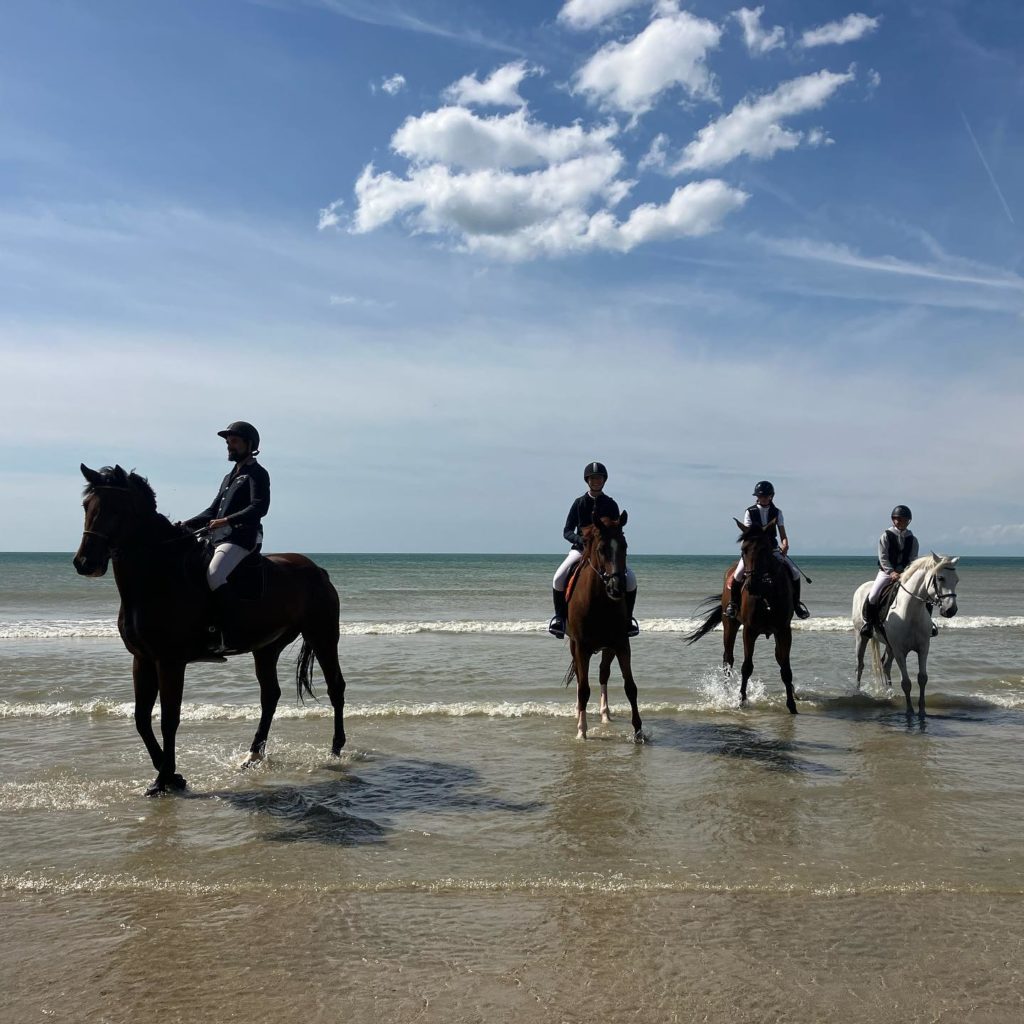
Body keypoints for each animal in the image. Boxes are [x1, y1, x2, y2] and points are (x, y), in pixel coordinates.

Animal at [74, 466, 348, 798]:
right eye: (86, 506)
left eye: (117, 509)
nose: (85, 563)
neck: (159, 576)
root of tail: (317, 570)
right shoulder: (142, 659)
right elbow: (141, 719)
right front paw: (170, 775)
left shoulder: (170, 662)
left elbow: (169, 719)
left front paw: (165, 779)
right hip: (267, 647)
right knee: (270, 695)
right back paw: (253, 755)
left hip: (323, 636)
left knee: (335, 687)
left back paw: (335, 749)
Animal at [561, 516, 638, 741]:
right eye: (602, 549)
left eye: (624, 546)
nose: (617, 587)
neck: (600, 601)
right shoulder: (581, 648)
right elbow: (584, 689)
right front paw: (582, 731)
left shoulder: (621, 644)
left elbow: (630, 687)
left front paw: (639, 732)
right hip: (575, 647)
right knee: (581, 679)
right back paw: (579, 712)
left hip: (608, 648)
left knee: (604, 673)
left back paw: (605, 714)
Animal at [688, 516, 798, 716]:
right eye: (743, 549)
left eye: (764, 549)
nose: (752, 584)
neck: (766, 592)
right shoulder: (749, 630)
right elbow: (747, 667)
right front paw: (741, 700)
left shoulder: (784, 631)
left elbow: (785, 668)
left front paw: (792, 704)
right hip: (730, 625)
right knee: (728, 660)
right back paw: (726, 694)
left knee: (779, 659)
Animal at [856, 552, 958, 712]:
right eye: (941, 578)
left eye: (957, 580)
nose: (951, 610)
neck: (910, 612)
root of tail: (862, 587)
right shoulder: (900, 651)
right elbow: (906, 683)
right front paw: (909, 710)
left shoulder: (923, 648)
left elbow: (922, 678)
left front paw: (921, 709)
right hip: (861, 637)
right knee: (859, 665)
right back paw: (857, 692)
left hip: (889, 645)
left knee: (885, 665)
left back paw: (890, 692)